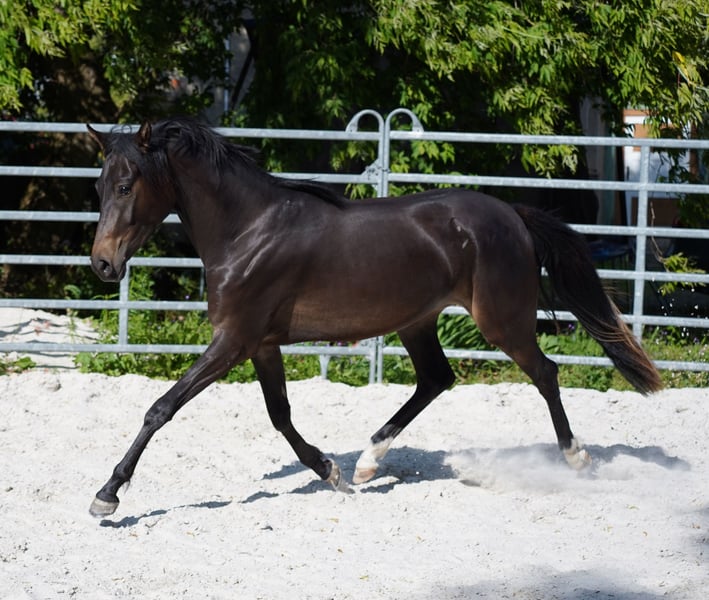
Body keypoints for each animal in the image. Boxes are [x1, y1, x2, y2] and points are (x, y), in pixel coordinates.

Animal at [85, 117, 662, 517]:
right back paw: (367, 463)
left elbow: (161, 408)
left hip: (502, 320)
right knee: (436, 379)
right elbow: (280, 416)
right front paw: (331, 472)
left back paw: (576, 458)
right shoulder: (262, 344)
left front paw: (108, 494)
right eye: (99, 186)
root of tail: (512, 215)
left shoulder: (234, 340)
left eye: (126, 185)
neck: (247, 230)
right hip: (416, 321)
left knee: (544, 372)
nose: (103, 264)